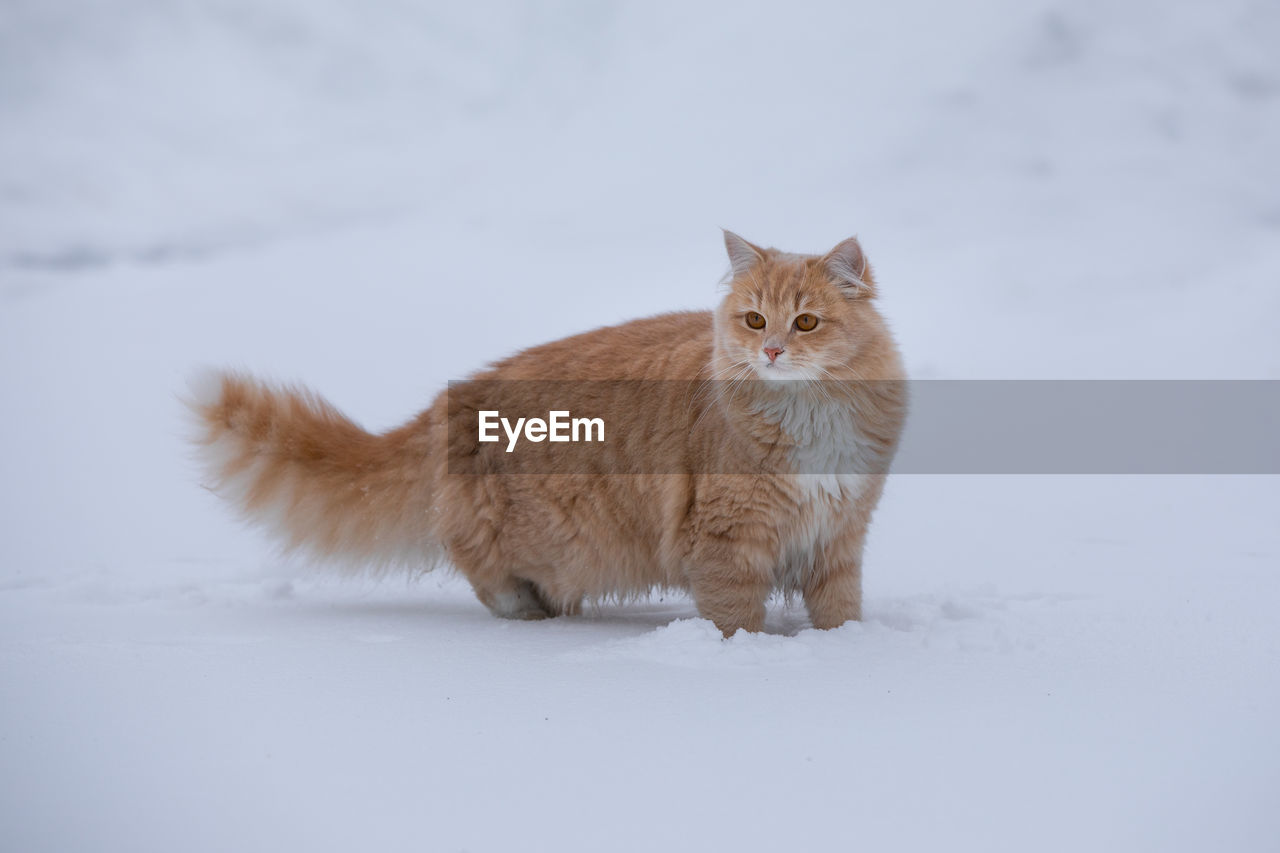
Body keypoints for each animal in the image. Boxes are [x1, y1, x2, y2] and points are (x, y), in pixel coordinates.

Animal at [189, 229, 911, 635]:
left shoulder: (839, 533)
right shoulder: (728, 539)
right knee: (476, 564)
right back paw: (525, 614)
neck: (810, 418)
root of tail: (455, 399)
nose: (772, 352)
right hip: (549, 533)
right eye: (756, 320)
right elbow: (736, 619)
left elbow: (838, 609)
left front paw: (841, 651)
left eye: (807, 322)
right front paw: (751, 657)